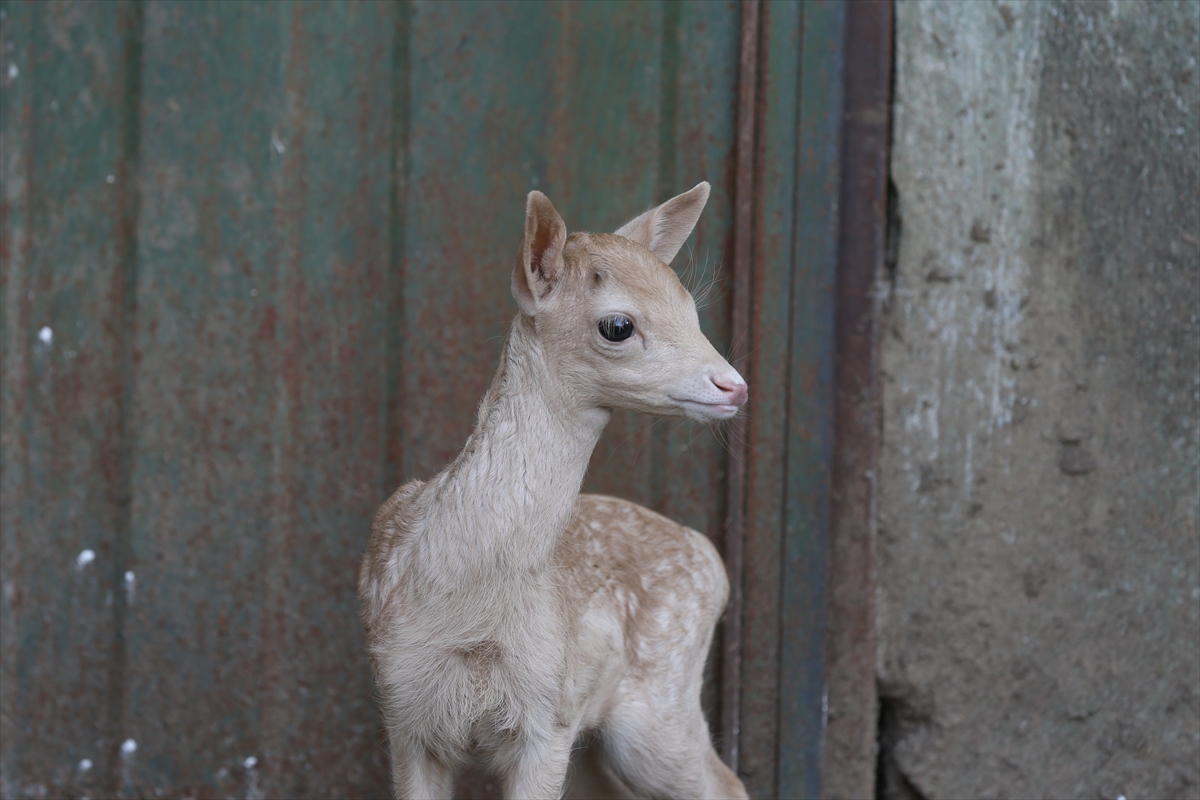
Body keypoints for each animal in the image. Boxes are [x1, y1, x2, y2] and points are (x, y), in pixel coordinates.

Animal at [357, 183, 748, 800]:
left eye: (691, 309)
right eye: (618, 326)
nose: (734, 386)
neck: (469, 613)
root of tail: (709, 556)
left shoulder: (548, 714)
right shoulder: (403, 709)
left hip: (656, 710)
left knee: (726, 784)